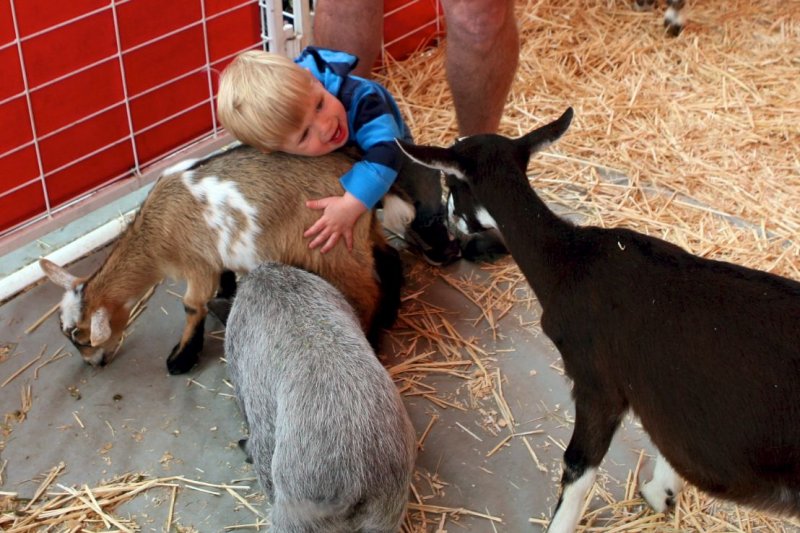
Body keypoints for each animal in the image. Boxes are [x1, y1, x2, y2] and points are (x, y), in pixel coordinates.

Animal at [40, 145, 404, 374]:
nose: (93, 364)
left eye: (83, 338)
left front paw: (181, 358)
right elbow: (224, 276)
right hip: (359, 233)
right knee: (390, 256)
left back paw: (372, 335)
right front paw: (226, 292)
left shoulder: (196, 264)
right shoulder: (215, 256)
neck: (154, 234)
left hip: (331, 245)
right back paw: (391, 312)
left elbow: (191, 305)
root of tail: (354, 171)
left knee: (367, 290)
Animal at [398, 107, 800, 528]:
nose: (450, 227)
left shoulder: (597, 383)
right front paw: (662, 492)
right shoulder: (651, 391)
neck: (570, 260)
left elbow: (578, 467)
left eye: (450, 183)